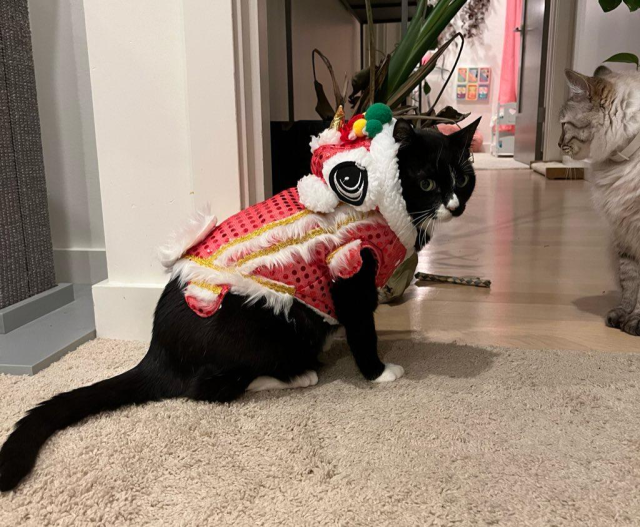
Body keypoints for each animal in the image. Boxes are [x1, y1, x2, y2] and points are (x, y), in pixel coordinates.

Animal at [0, 117, 480, 492]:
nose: (455, 205)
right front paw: (380, 373)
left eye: (462, 178)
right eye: (427, 181)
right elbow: (363, 329)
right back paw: (296, 374)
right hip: (253, 327)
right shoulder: (349, 270)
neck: (384, 205)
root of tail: (157, 353)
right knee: (208, 389)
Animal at [560, 68, 640, 336]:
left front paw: (636, 322)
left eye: (563, 124)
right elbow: (630, 283)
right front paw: (622, 316)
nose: (558, 144)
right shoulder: (623, 234)